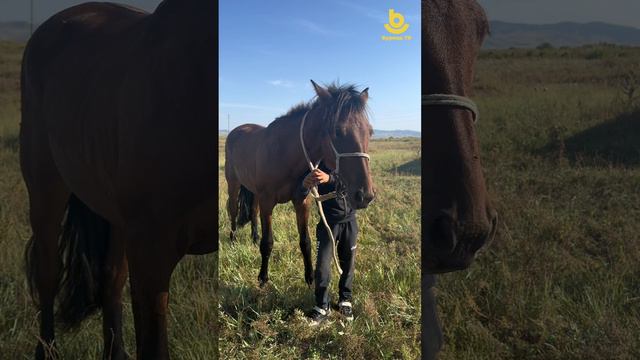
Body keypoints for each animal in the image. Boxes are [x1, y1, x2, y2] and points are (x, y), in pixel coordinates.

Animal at [225, 81, 376, 286]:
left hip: (253, 190)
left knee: (253, 212)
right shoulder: (267, 202)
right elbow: (268, 242)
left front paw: (310, 277)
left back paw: (254, 238)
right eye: (337, 131)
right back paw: (233, 240)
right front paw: (263, 277)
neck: (284, 154)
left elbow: (306, 241)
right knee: (233, 211)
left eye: (370, 131)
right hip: (233, 184)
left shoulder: (302, 201)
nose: (365, 195)